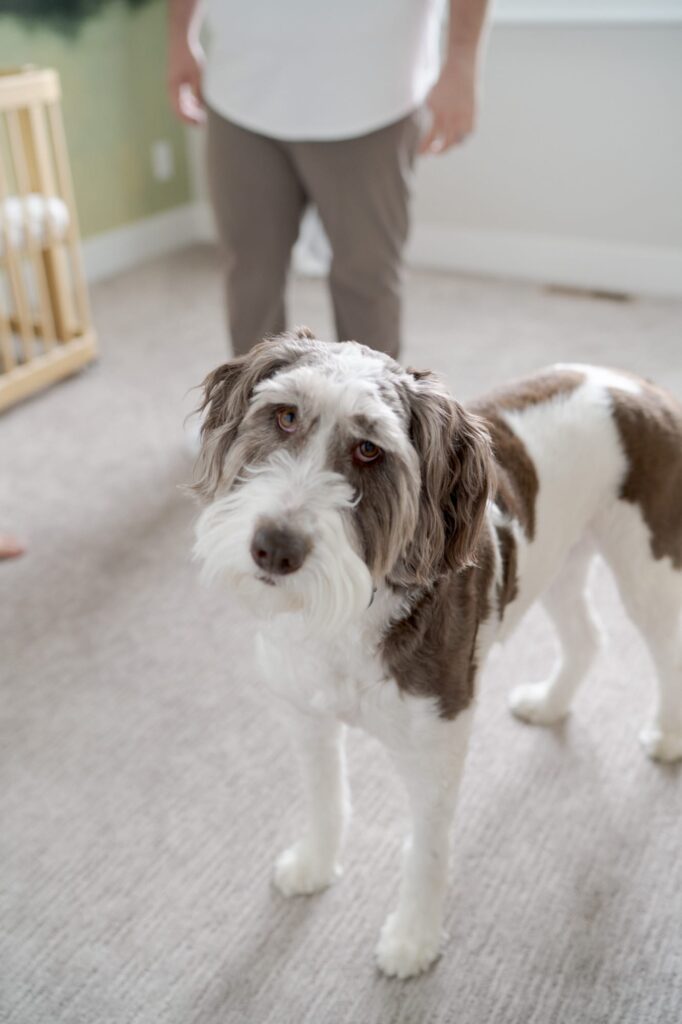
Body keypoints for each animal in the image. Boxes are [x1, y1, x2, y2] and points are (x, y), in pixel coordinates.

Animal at [189, 331, 679, 978]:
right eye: (285, 416)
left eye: (369, 450)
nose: (273, 548)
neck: (346, 617)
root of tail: (636, 384)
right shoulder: (306, 716)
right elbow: (325, 798)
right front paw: (315, 865)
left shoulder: (436, 748)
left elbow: (426, 849)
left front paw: (413, 938)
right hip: (559, 558)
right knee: (587, 636)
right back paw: (550, 704)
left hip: (647, 568)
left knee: (664, 651)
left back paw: (667, 736)